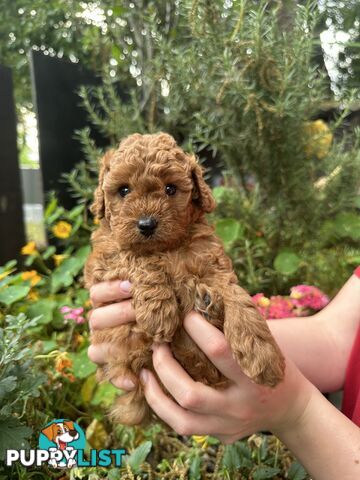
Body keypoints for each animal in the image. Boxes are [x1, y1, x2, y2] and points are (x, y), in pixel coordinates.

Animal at [84, 133, 284, 426]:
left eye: (170, 189)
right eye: (123, 190)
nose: (146, 225)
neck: (168, 247)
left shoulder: (215, 266)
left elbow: (239, 298)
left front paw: (263, 355)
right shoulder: (104, 260)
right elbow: (137, 257)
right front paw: (158, 312)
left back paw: (209, 306)